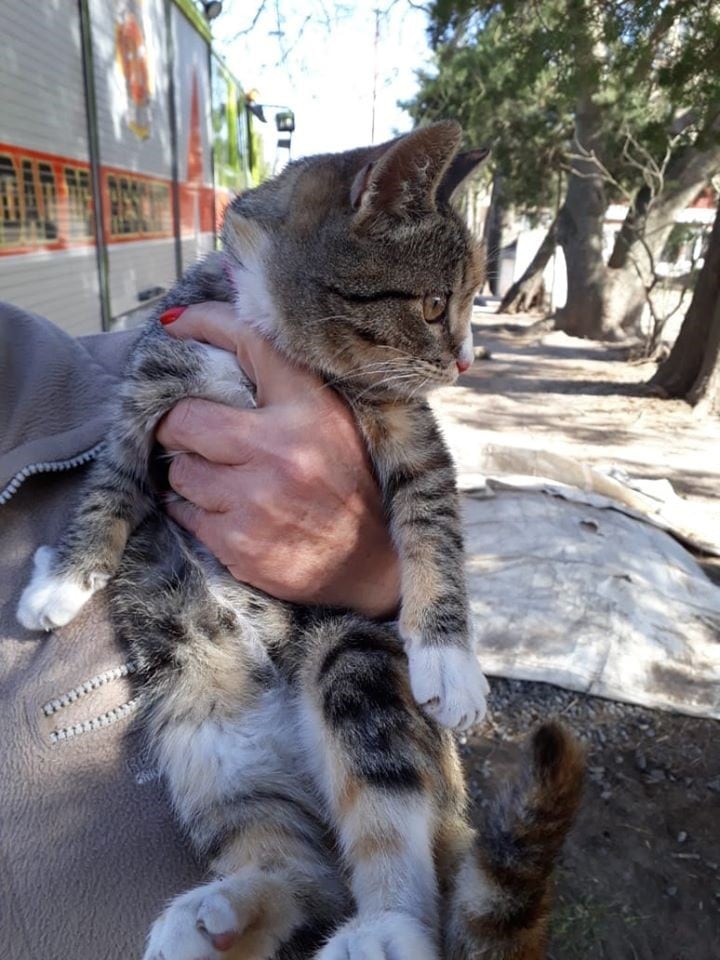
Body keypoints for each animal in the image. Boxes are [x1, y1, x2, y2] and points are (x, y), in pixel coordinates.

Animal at [16, 124, 584, 956]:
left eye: (466, 300)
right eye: (434, 302)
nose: (467, 358)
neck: (264, 336)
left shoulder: (403, 420)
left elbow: (432, 518)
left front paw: (449, 655)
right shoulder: (151, 384)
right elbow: (110, 481)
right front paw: (61, 577)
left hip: (355, 657)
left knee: (386, 815)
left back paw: (384, 926)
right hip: (204, 725)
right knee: (303, 868)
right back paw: (217, 916)